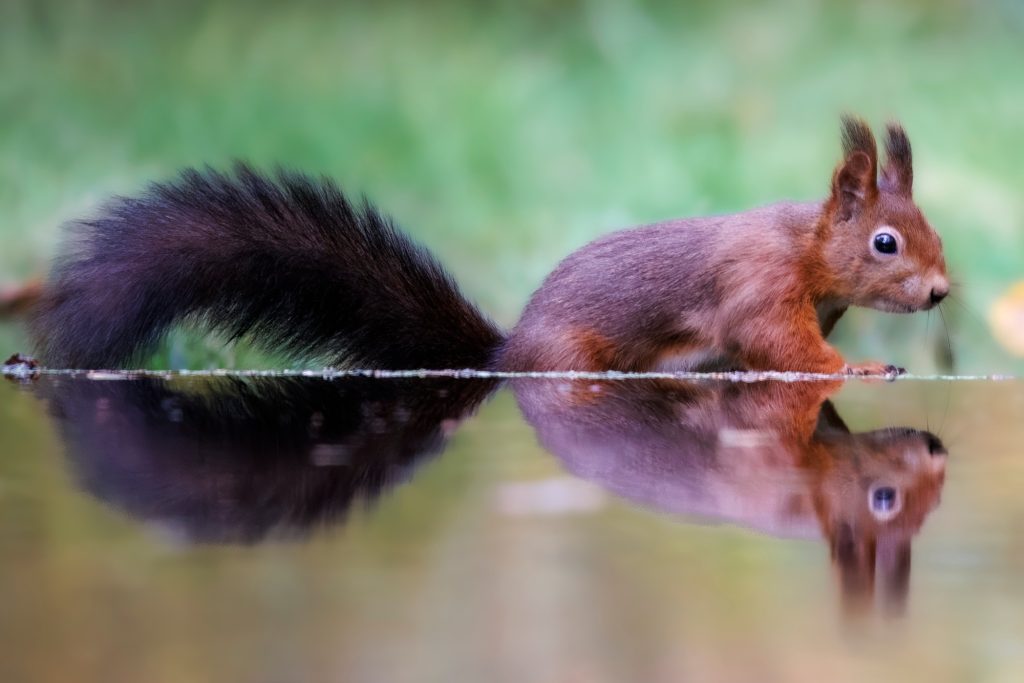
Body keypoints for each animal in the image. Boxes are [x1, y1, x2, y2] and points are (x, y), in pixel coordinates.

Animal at [29, 116, 942, 374]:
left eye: (932, 231)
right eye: (886, 241)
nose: (940, 294)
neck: (808, 249)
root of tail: (509, 353)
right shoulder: (758, 286)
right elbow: (781, 344)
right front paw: (864, 367)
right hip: (578, 362)